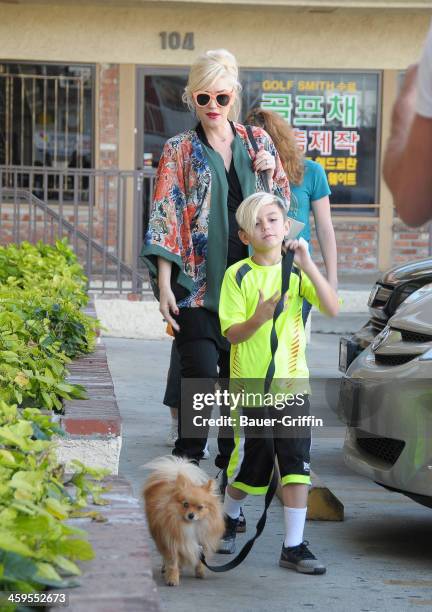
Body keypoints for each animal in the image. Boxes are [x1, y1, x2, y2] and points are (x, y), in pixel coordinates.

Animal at [143, 456, 224, 584]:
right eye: (185, 504)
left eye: (200, 507)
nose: (191, 515)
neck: (191, 526)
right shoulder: (172, 542)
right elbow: (173, 561)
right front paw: (172, 578)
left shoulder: (202, 543)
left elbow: (200, 560)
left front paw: (200, 572)